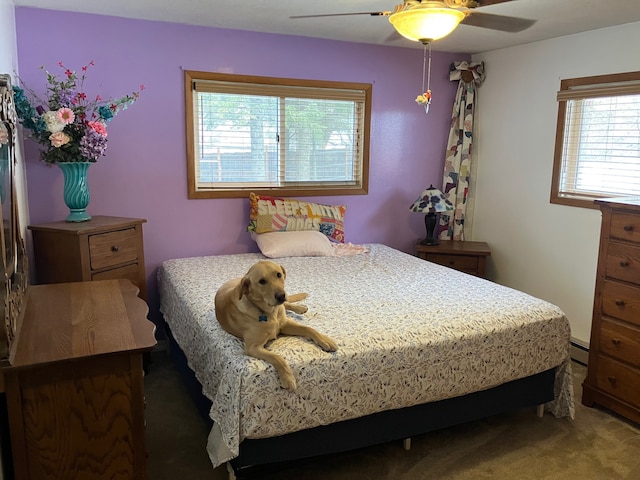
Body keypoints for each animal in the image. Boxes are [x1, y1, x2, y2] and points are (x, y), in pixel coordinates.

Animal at [215, 258, 338, 390]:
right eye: (262, 281)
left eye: (278, 275)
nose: (281, 296)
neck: (269, 312)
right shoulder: (252, 347)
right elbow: (277, 357)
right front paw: (288, 378)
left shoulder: (285, 324)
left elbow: (309, 329)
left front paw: (325, 340)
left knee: (287, 304)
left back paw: (300, 308)